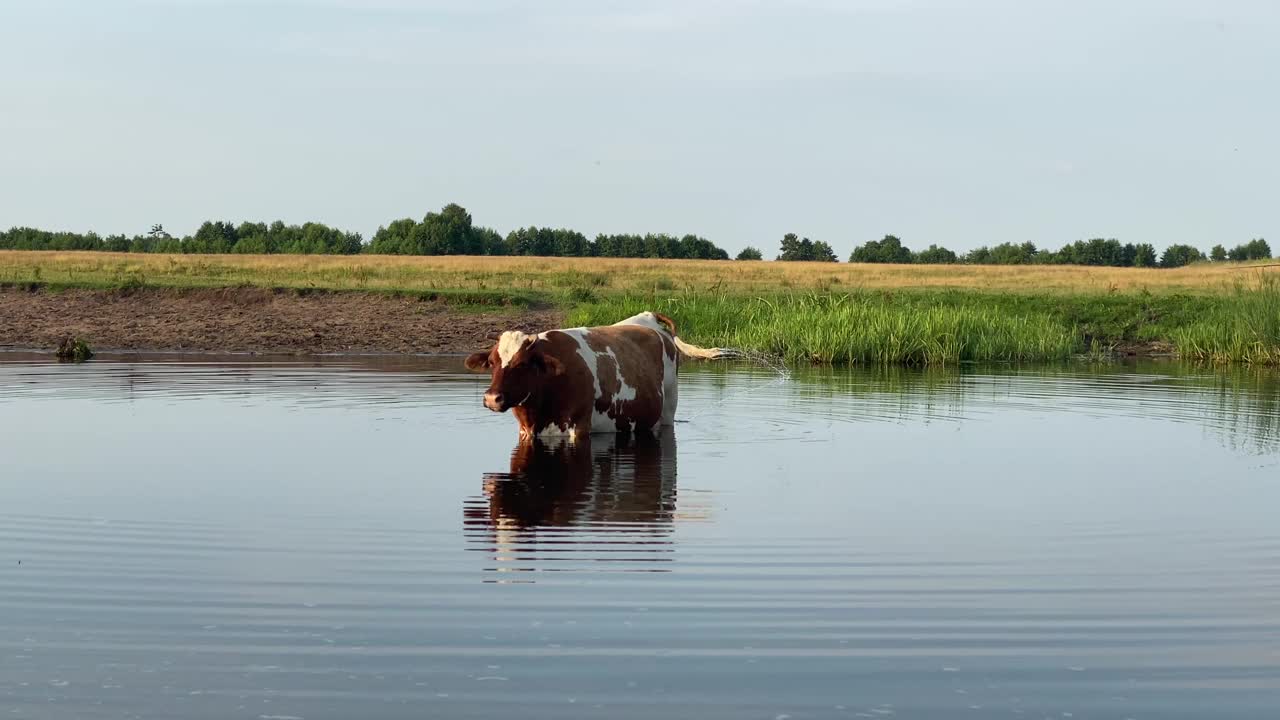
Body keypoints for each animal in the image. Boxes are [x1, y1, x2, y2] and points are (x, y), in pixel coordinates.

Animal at [468, 310, 732, 438]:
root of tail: (649, 317)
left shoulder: (580, 428)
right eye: (492, 362)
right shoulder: (526, 432)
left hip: (668, 410)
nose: (492, 398)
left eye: (523, 363)